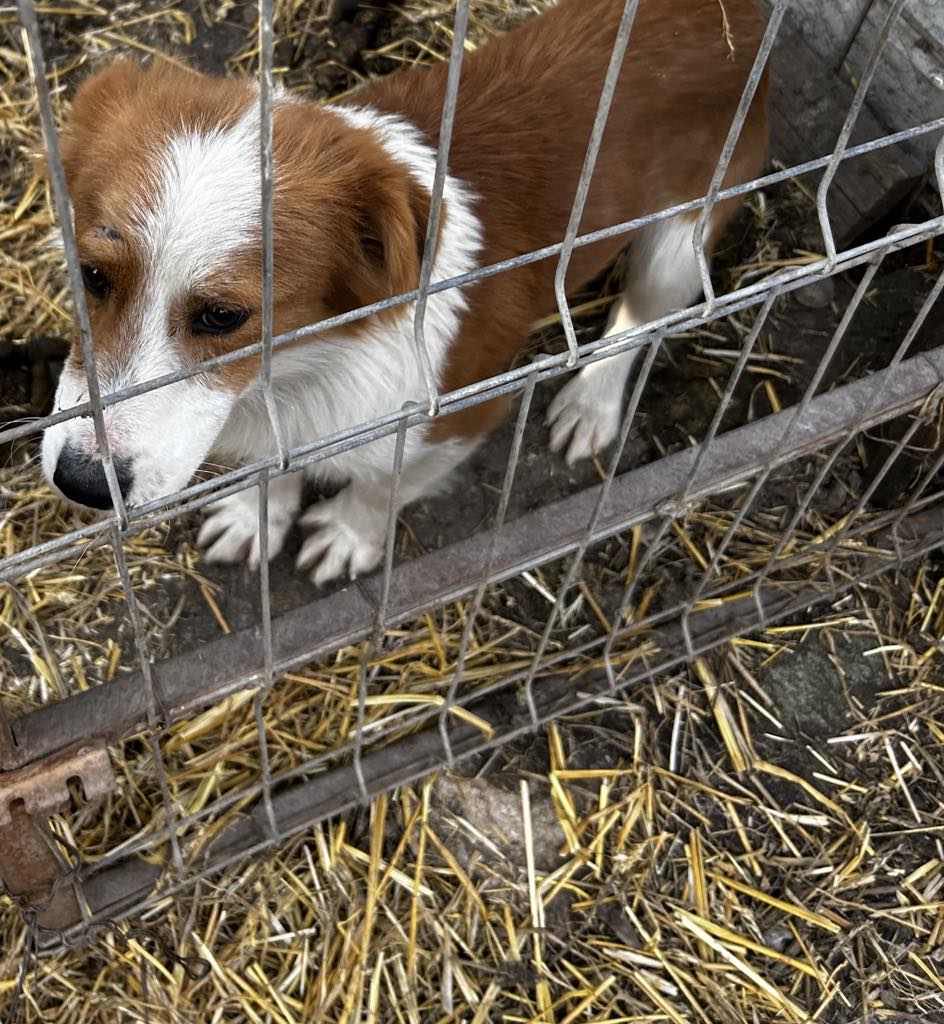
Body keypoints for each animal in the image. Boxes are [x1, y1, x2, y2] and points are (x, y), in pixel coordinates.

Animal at [40, 0, 769, 589]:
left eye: (223, 316)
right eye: (91, 276)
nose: (81, 484)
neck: (306, 366)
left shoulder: (457, 417)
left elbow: (383, 484)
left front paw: (348, 533)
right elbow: (273, 467)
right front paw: (257, 515)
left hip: (679, 242)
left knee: (642, 317)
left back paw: (591, 400)